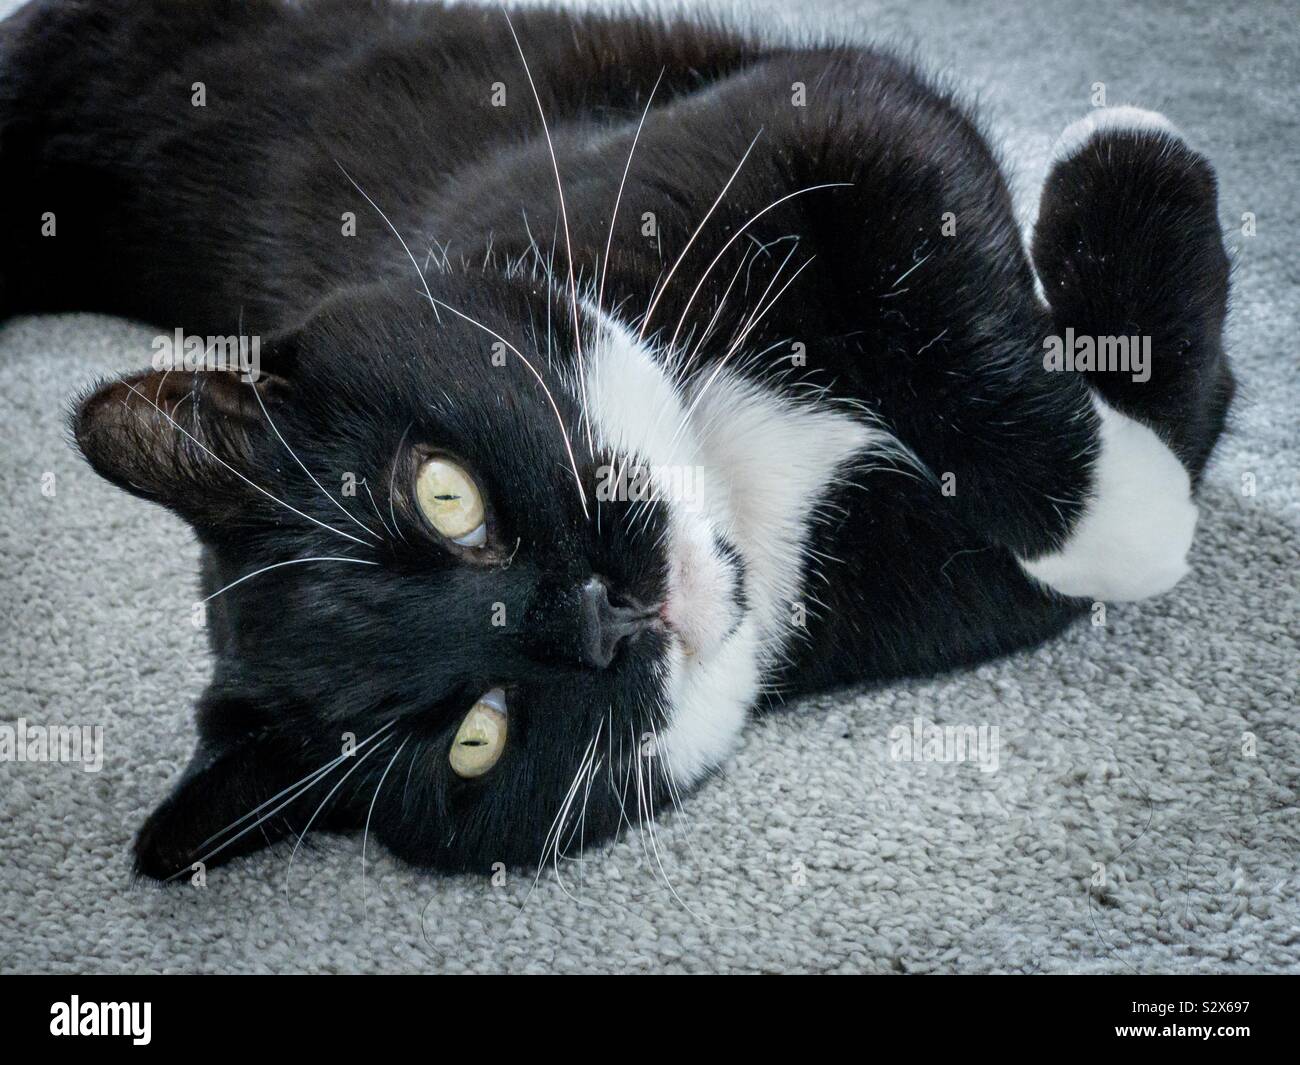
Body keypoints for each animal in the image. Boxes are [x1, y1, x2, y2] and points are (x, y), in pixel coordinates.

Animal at [0, 2, 1232, 884]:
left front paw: (1128, 159)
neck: (740, 477)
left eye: (445, 496)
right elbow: (1107, 505)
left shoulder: (789, 120)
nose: (600, 617)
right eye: (476, 739)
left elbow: (931, 252)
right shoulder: (899, 585)